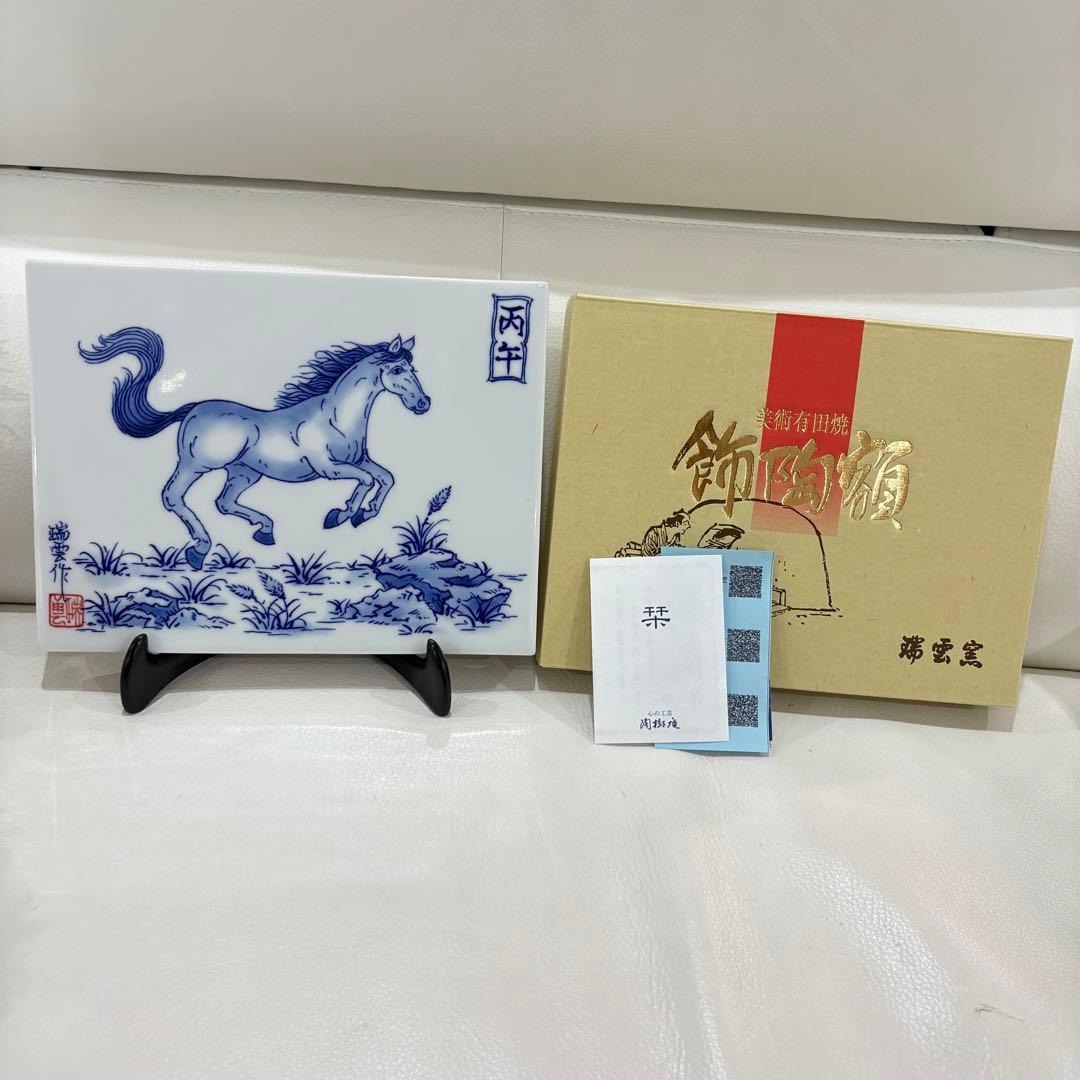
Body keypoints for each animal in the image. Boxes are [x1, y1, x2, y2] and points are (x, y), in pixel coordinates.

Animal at [80, 327, 430, 570]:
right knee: (173, 496)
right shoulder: (328, 468)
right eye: (397, 370)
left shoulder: (361, 460)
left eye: (414, 370)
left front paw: (363, 515)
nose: (423, 404)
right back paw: (200, 549)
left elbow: (385, 478)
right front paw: (341, 515)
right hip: (197, 465)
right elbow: (367, 481)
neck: (336, 417)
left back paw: (263, 531)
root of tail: (192, 409)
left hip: (243, 473)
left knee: (223, 502)